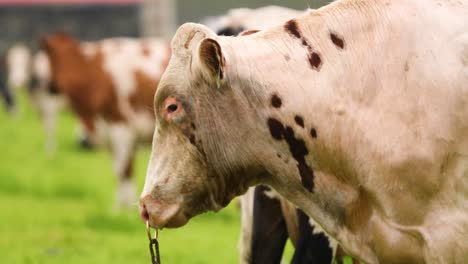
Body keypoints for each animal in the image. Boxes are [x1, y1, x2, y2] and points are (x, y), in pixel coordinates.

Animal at [43, 32, 171, 206]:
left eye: (54, 57)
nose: (50, 86)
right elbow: (123, 170)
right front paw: (123, 205)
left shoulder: (121, 128)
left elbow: (123, 170)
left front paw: (122, 207)